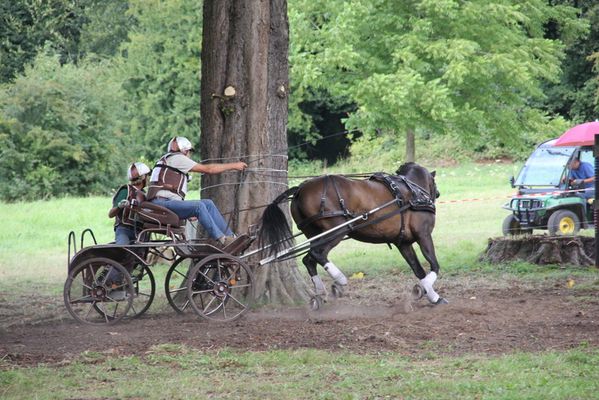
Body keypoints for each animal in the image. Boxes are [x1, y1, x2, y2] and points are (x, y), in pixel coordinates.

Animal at [260, 161, 448, 308]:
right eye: (434, 183)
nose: (438, 194)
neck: (412, 193)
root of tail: (300, 189)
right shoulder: (424, 235)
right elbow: (434, 265)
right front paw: (426, 289)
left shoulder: (403, 243)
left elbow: (418, 270)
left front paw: (433, 297)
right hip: (337, 231)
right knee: (317, 254)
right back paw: (340, 280)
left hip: (315, 234)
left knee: (309, 259)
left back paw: (320, 293)